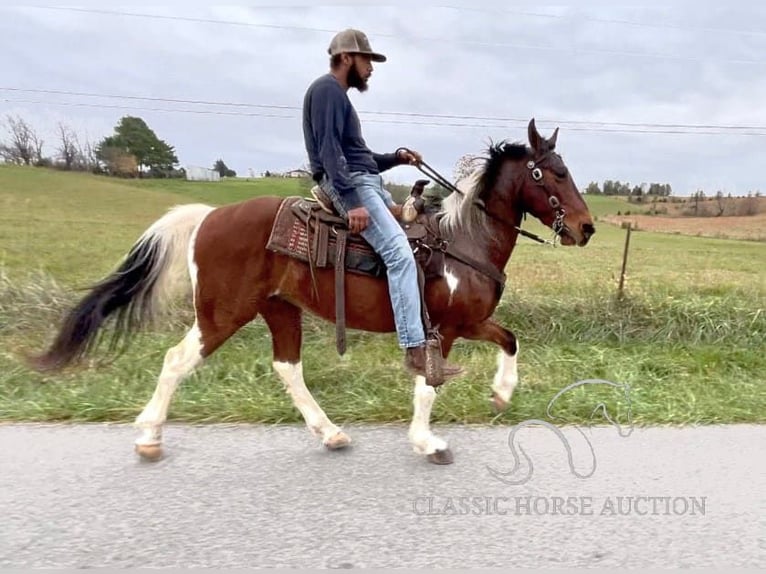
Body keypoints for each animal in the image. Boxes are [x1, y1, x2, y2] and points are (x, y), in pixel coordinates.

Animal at [27, 119, 596, 466]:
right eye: (553, 172)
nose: (586, 228)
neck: (461, 242)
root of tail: (208, 216)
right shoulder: (447, 328)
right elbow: (428, 385)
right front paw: (427, 441)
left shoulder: (472, 322)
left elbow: (510, 339)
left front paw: (501, 393)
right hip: (221, 314)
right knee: (176, 360)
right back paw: (148, 437)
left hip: (279, 310)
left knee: (288, 369)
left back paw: (330, 432)